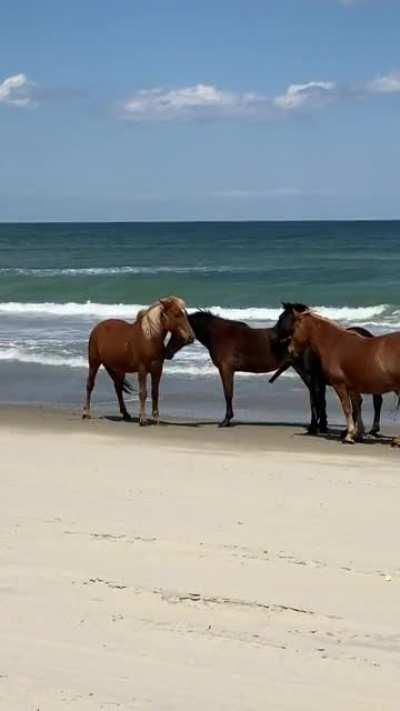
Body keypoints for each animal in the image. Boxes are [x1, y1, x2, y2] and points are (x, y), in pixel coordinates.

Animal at [82, 296, 194, 425]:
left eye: (185, 314)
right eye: (176, 314)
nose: (191, 337)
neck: (150, 338)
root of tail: (97, 328)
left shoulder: (157, 370)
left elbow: (155, 392)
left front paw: (156, 418)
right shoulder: (142, 369)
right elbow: (143, 393)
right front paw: (143, 418)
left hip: (119, 369)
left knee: (118, 388)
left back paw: (125, 414)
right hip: (94, 362)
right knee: (90, 385)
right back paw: (86, 413)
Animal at [165, 310, 329, 429]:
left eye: (176, 331)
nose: (168, 352)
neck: (219, 335)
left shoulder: (226, 369)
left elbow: (228, 394)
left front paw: (226, 420)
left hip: (305, 371)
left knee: (315, 393)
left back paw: (315, 425)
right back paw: (320, 425)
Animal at [272, 303, 384, 436]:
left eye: (281, 317)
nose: (274, 337)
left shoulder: (312, 379)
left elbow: (315, 401)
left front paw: (314, 427)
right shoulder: (320, 381)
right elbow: (321, 401)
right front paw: (322, 426)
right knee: (372, 400)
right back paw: (368, 429)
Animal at [287, 307, 400, 445]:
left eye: (294, 329)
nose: (290, 350)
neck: (335, 344)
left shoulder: (339, 384)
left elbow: (347, 408)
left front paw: (349, 435)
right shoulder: (352, 387)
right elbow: (356, 407)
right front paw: (357, 434)